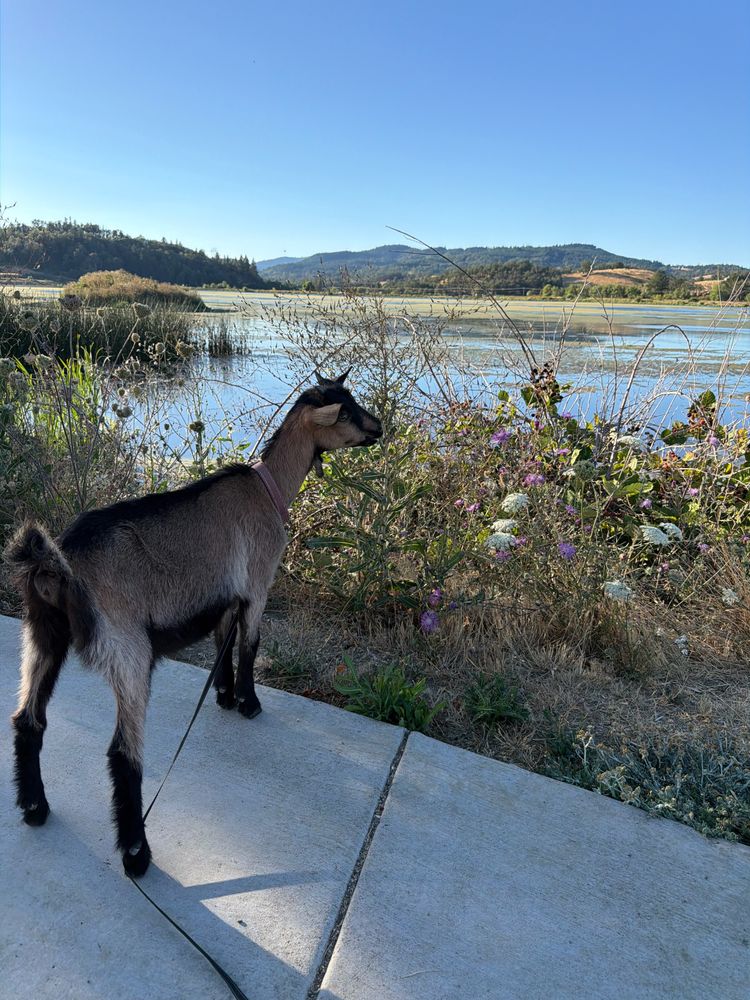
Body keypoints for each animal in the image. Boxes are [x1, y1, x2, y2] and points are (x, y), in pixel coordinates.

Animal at [6, 372, 382, 877]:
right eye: (345, 411)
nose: (379, 427)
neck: (268, 488)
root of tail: (58, 564)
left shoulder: (224, 596)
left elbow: (224, 641)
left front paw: (222, 695)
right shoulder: (258, 584)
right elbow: (250, 645)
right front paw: (248, 703)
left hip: (42, 632)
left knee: (29, 718)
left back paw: (34, 808)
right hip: (127, 648)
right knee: (123, 753)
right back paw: (136, 853)